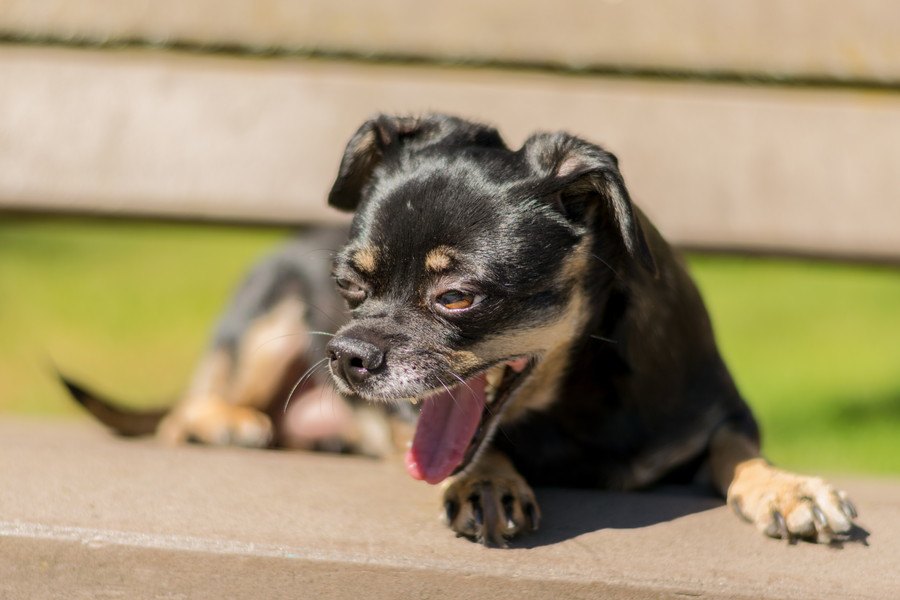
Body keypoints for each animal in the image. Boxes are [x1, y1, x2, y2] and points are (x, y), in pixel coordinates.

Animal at [63, 112, 856, 548]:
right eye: (349, 287)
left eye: (456, 298)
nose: (345, 356)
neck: (574, 406)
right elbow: (472, 448)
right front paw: (487, 480)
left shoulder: (721, 415)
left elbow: (738, 452)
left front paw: (786, 489)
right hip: (266, 320)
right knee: (182, 413)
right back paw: (221, 423)